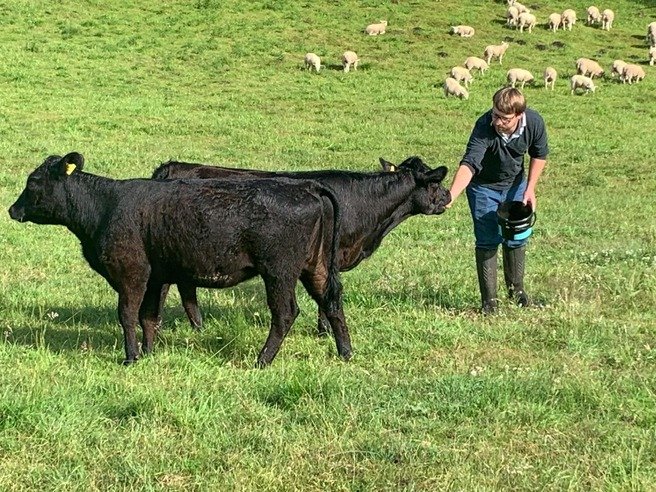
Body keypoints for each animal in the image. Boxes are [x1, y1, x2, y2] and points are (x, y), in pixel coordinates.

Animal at [9, 153, 348, 366]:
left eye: (33, 181)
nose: (12, 210)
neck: (105, 206)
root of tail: (306, 185)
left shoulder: (131, 274)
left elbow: (127, 315)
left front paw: (131, 357)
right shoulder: (156, 277)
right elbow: (149, 316)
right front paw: (148, 353)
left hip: (279, 271)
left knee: (286, 313)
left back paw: (262, 360)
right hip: (315, 266)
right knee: (331, 302)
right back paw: (345, 353)